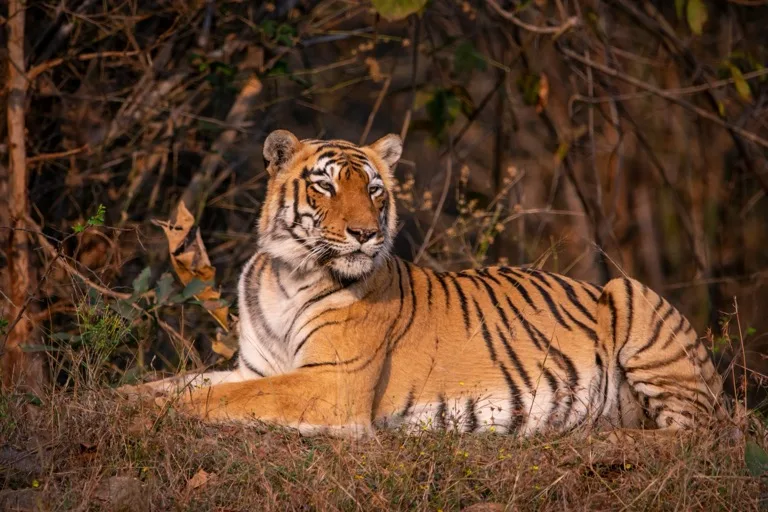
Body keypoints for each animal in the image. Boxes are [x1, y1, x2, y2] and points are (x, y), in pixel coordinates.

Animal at [121, 129, 725, 439]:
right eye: (324, 187)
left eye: (374, 190)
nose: (365, 234)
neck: (289, 275)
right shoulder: (254, 367)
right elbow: (183, 384)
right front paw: (117, 399)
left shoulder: (329, 381)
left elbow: (222, 399)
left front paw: (151, 414)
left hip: (627, 292)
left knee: (692, 432)